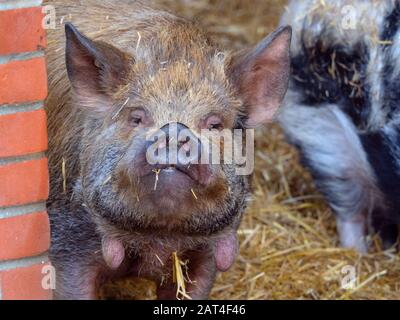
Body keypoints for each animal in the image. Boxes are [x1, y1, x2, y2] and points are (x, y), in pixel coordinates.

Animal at [46, 0, 290, 300]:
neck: (159, 239)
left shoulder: (206, 255)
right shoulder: (69, 239)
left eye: (215, 123)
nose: (173, 131)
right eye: (136, 117)